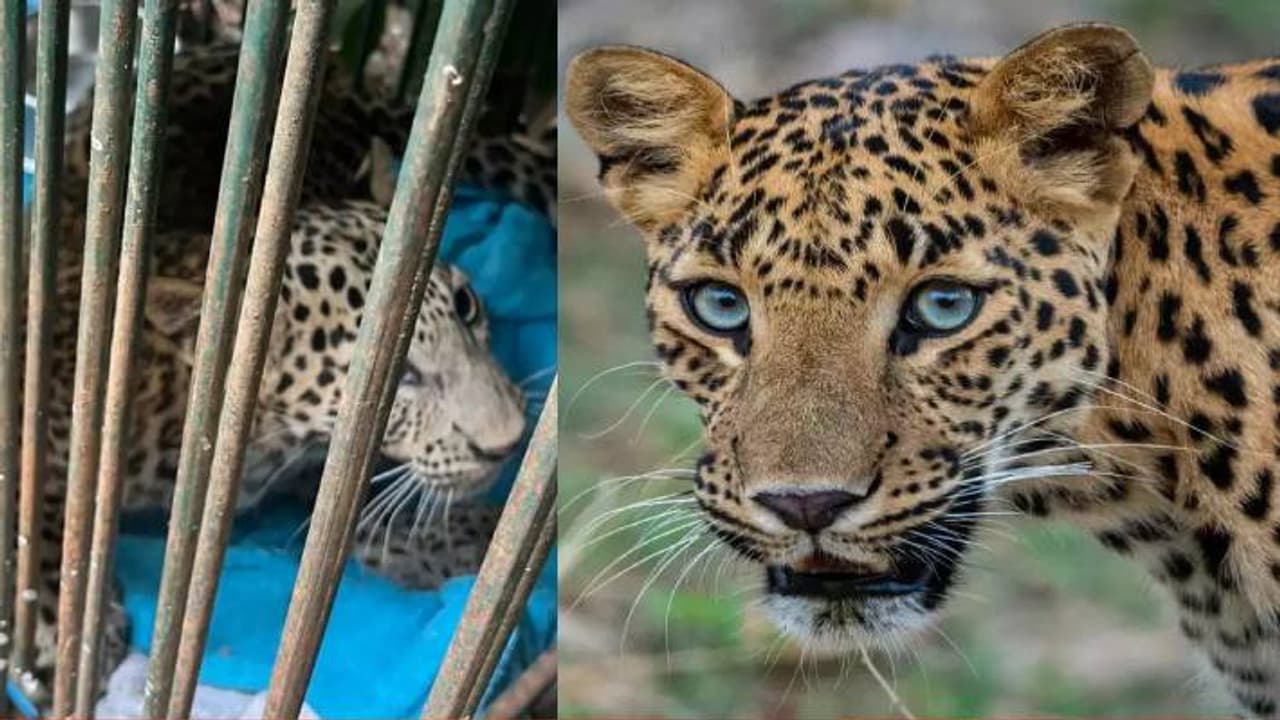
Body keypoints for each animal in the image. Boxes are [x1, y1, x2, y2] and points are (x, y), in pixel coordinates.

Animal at [17, 41, 552, 706]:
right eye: (394, 377)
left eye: (467, 305)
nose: (508, 443)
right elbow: (36, 486)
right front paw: (51, 630)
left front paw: (475, 539)